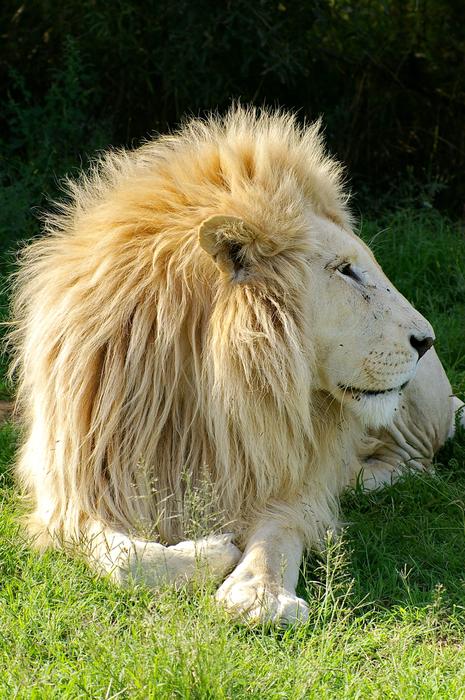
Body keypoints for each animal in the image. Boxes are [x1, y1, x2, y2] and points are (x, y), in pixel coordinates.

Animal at [10, 107, 463, 625]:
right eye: (346, 270)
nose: (426, 340)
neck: (201, 389)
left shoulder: (283, 478)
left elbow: (280, 531)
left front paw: (261, 593)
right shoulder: (72, 485)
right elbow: (119, 555)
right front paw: (212, 552)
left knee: (415, 465)